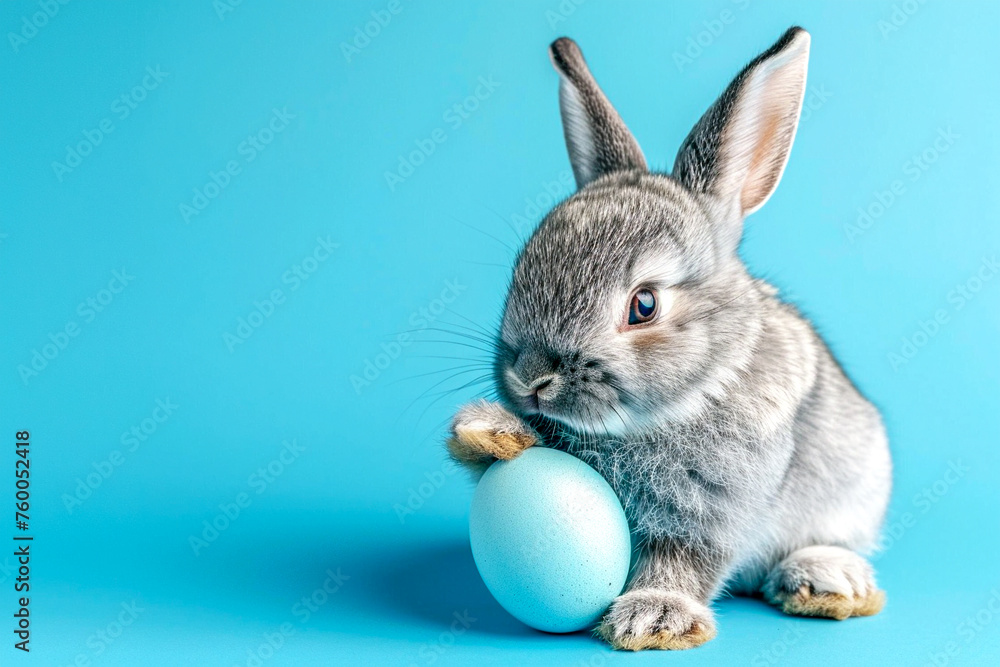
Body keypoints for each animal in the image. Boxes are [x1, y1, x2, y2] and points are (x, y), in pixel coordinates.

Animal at [446, 26, 892, 651]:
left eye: (644, 305)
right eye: (523, 267)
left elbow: (684, 558)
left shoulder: (709, 507)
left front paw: (655, 617)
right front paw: (486, 429)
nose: (531, 376)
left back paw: (827, 579)